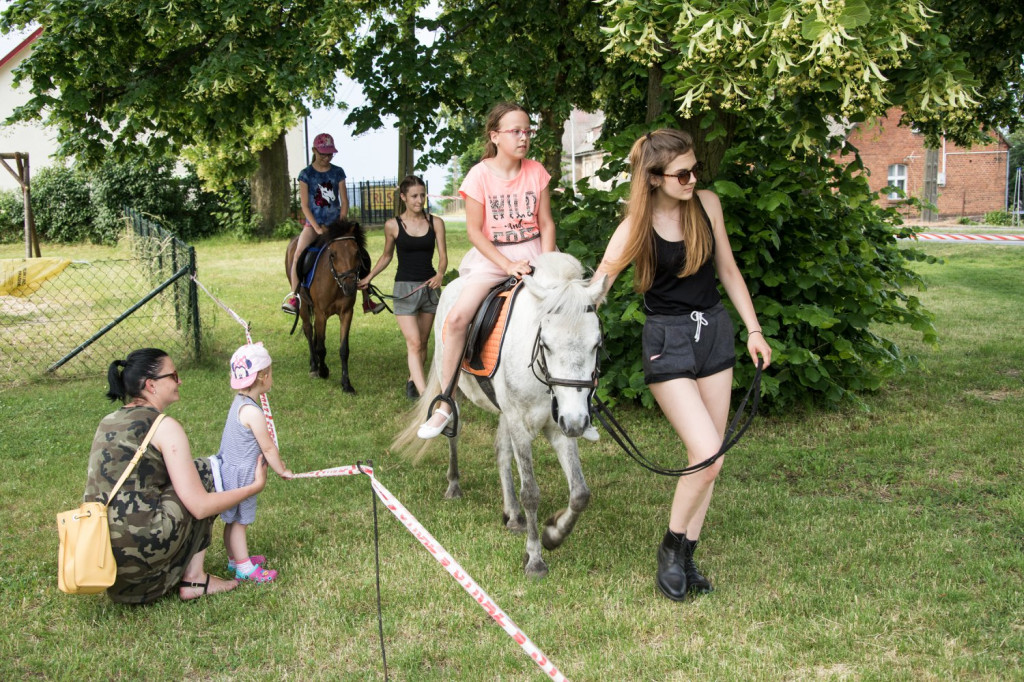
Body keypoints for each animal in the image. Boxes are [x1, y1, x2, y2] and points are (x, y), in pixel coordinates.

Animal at [286, 218, 366, 393]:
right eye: (333, 254)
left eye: (357, 253)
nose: (349, 286)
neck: (335, 282)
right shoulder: (321, 313)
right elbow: (321, 348)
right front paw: (323, 371)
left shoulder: (346, 313)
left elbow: (343, 349)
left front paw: (346, 384)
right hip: (304, 305)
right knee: (309, 331)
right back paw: (314, 366)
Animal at [389, 251, 598, 577]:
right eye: (547, 345)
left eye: (596, 344)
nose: (579, 423)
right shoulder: (522, 423)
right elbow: (531, 492)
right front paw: (535, 559)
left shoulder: (559, 423)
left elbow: (579, 492)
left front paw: (553, 534)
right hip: (454, 387)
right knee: (453, 431)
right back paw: (454, 485)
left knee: (501, 451)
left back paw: (512, 514)